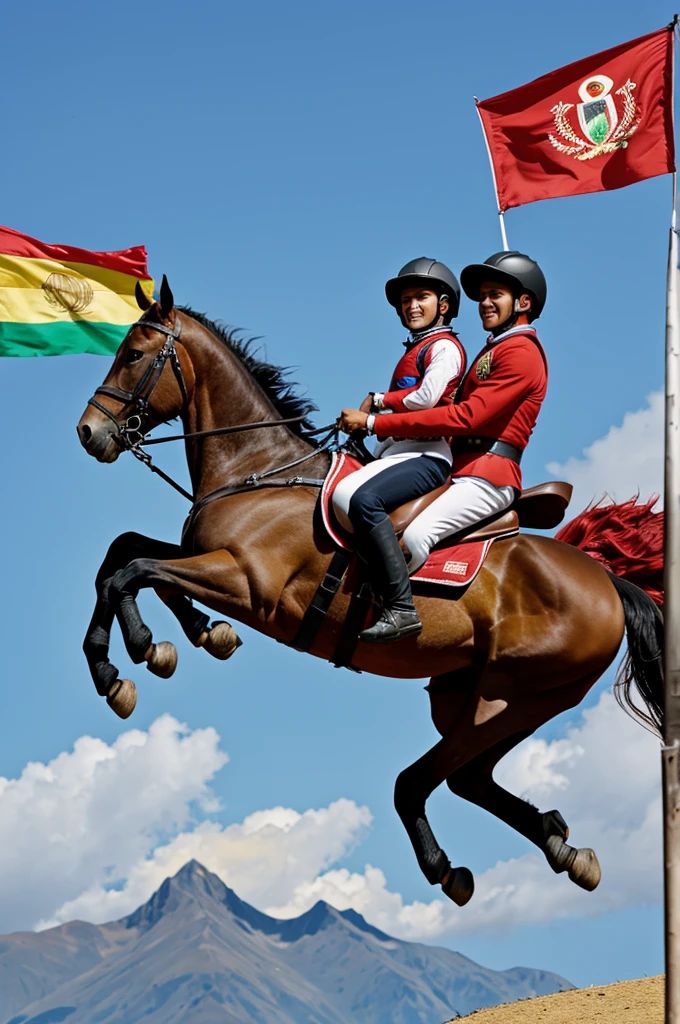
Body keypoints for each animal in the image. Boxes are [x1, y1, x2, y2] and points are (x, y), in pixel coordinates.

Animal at [75, 278, 663, 905]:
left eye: (133, 354)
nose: (89, 432)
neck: (258, 469)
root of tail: (604, 580)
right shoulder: (207, 559)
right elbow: (123, 555)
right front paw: (181, 640)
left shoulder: (247, 582)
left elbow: (136, 570)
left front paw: (139, 653)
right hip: (476, 699)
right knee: (467, 776)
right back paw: (561, 845)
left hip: (515, 693)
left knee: (424, 780)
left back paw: (451, 862)